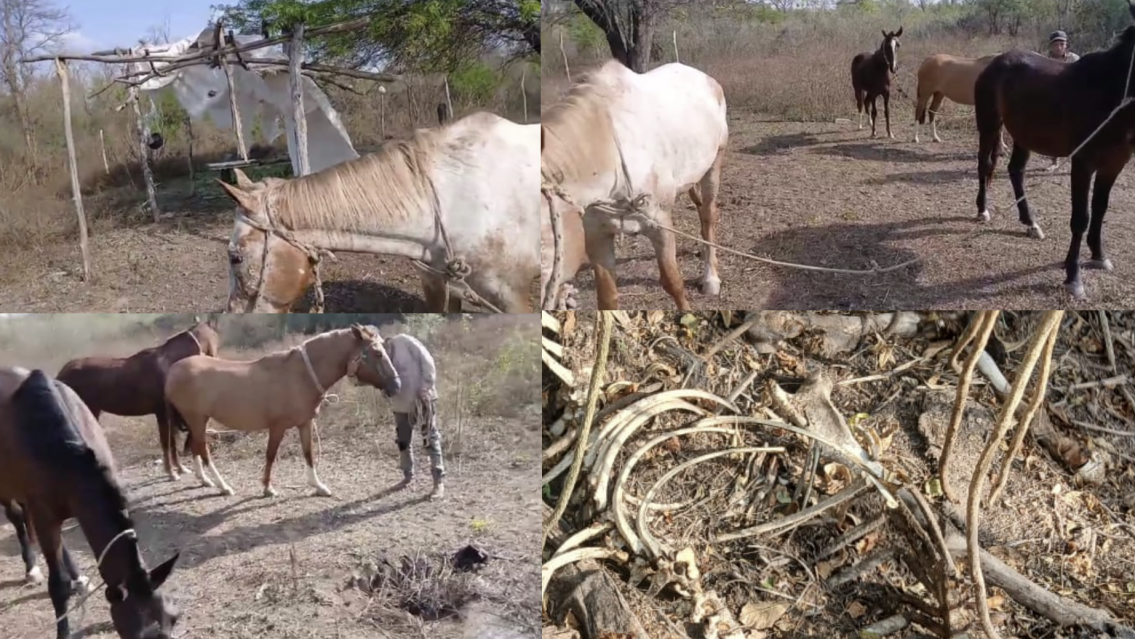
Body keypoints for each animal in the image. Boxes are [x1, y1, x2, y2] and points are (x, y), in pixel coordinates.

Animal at [0, 367, 180, 639]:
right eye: (137, 634)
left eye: (174, 618)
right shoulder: (43, 512)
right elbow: (58, 585)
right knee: (17, 517)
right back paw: (31, 570)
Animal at [56, 316, 220, 481]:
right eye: (216, 337)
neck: (171, 364)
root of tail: (60, 375)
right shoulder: (162, 413)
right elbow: (166, 443)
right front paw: (172, 473)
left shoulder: (169, 415)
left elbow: (172, 443)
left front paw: (180, 469)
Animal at [164, 324, 400, 498]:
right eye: (377, 353)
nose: (396, 385)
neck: (300, 375)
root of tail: (173, 371)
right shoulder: (277, 427)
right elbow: (271, 455)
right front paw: (268, 488)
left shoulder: (305, 423)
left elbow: (308, 453)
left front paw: (318, 486)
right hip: (197, 419)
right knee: (203, 450)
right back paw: (224, 486)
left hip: (196, 421)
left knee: (196, 447)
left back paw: (205, 480)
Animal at [540, 60, 729, 310]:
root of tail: (707, 79)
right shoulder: (597, 235)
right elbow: (607, 297)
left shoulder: (660, 225)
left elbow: (673, 282)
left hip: (714, 165)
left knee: (708, 215)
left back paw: (710, 279)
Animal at [973, 2, 1135, 300]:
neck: (1110, 90)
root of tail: (995, 62)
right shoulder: (1083, 162)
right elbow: (1081, 218)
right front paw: (1074, 278)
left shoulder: (1114, 163)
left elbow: (1101, 208)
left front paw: (1099, 255)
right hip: (989, 125)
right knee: (984, 165)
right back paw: (983, 210)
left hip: (1023, 134)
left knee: (1016, 171)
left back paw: (1030, 222)